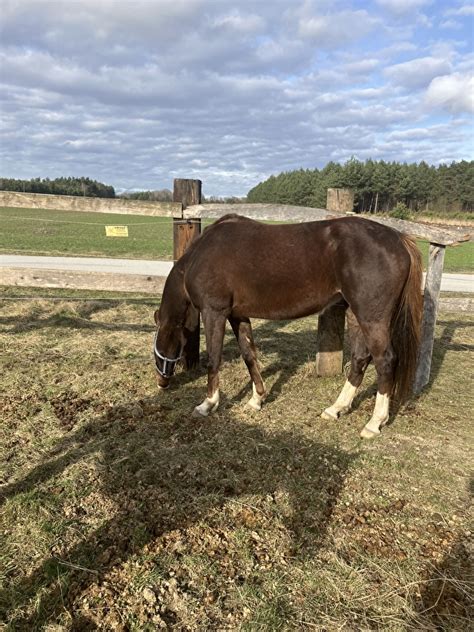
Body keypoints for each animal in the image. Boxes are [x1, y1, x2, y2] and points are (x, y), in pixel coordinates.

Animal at [153, 215, 422, 436]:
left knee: (385, 361)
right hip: (356, 315)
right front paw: (257, 400)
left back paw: (374, 423)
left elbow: (214, 359)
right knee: (360, 359)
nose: (162, 383)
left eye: (157, 348)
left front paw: (207, 404)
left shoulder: (214, 313)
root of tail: (399, 239)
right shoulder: (238, 316)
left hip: (372, 318)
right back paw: (336, 408)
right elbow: (249, 355)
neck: (200, 255)